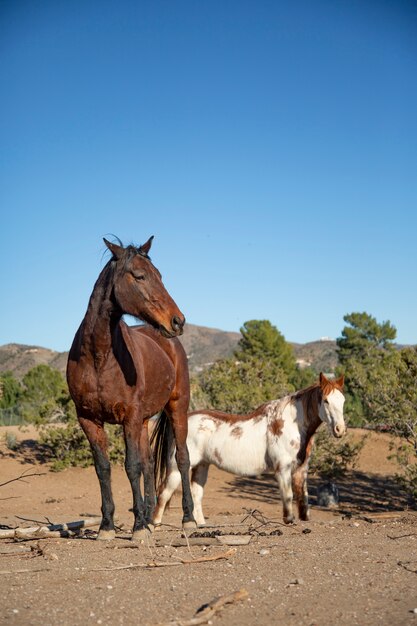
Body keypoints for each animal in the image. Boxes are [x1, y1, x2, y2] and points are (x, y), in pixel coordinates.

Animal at [66, 236, 195, 540]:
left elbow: (131, 467)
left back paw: (188, 519)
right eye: (139, 276)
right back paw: (149, 518)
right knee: (149, 465)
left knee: (182, 458)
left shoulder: (129, 417)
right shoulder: (89, 419)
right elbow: (104, 469)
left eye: (160, 275)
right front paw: (107, 526)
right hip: (145, 421)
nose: (178, 320)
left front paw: (137, 528)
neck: (99, 357)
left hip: (176, 408)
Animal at [153, 372, 344, 524]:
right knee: (163, 493)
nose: (340, 430)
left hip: (202, 466)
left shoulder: (302, 469)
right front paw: (288, 520)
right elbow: (288, 495)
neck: (290, 423)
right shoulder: (282, 468)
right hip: (177, 469)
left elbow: (303, 499)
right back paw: (154, 524)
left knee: (196, 494)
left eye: (342, 400)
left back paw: (200, 525)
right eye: (326, 401)